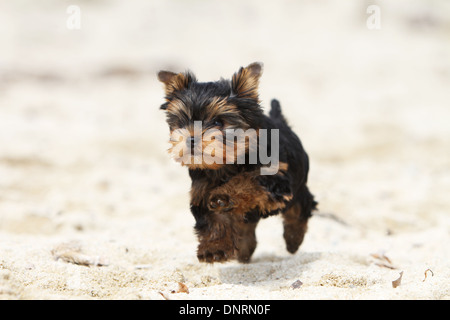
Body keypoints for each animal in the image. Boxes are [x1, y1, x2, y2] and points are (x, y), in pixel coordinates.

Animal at [158, 62, 316, 262]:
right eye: (181, 123)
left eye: (218, 122)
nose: (190, 139)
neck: (226, 163)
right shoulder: (200, 190)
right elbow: (212, 219)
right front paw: (214, 247)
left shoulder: (273, 178)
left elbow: (246, 180)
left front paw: (223, 196)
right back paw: (245, 249)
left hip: (297, 186)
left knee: (299, 208)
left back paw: (293, 239)